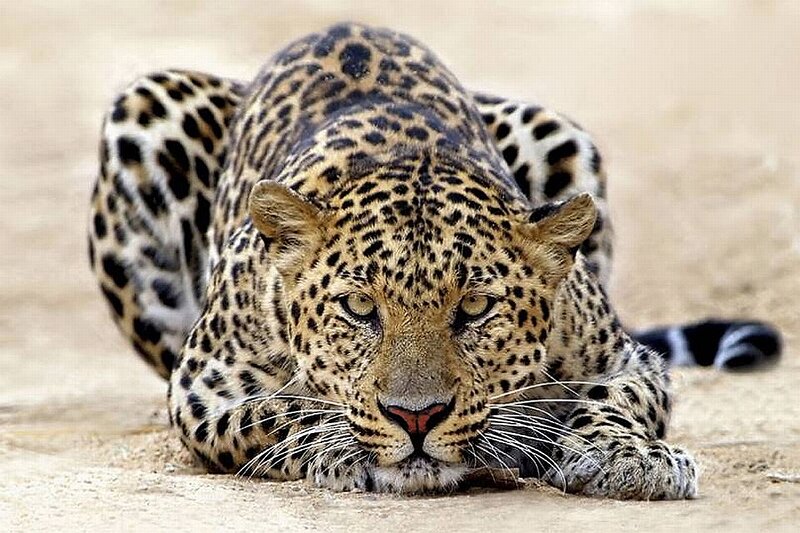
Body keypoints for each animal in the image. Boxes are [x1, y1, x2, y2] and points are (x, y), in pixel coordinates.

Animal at [88, 23, 781, 498]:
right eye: (358, 307)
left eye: (474, 308)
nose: (415, 417)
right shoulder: (202, 386)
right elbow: (284, 410)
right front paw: (341, 447)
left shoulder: (626, 359)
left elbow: (612, 400)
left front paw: (627, 457)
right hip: (144, 110)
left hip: (555, 129)